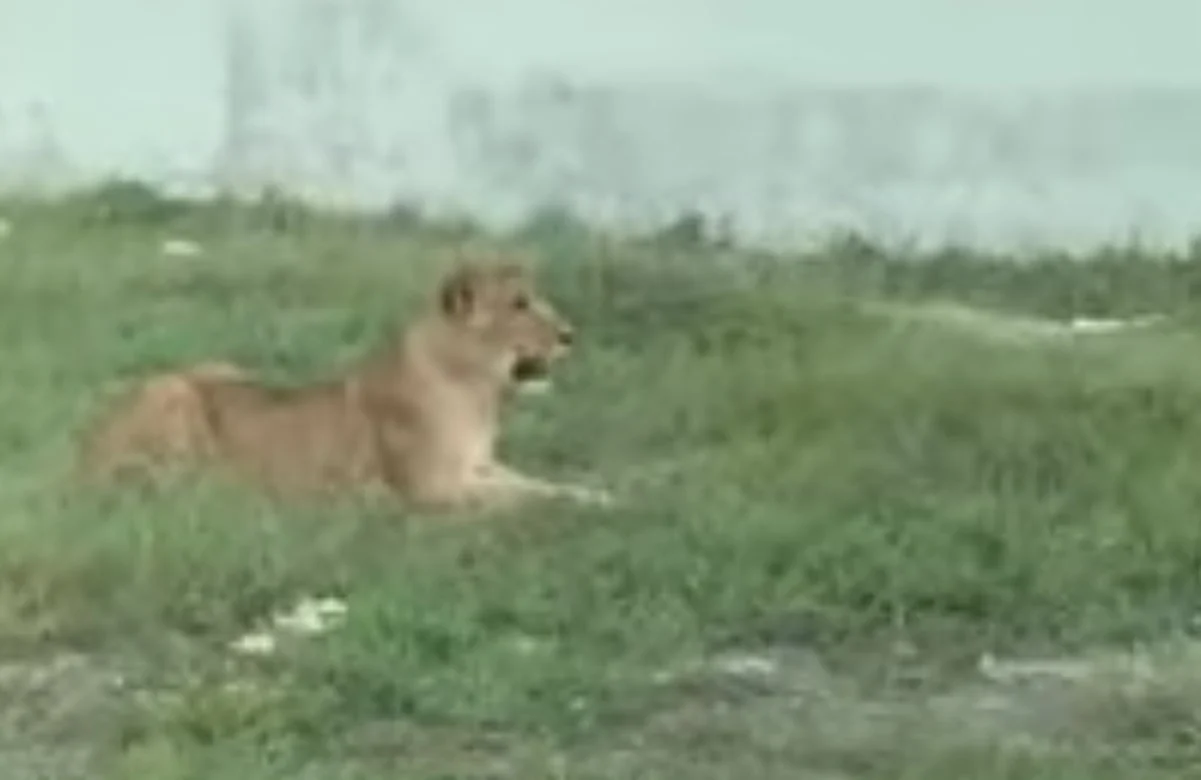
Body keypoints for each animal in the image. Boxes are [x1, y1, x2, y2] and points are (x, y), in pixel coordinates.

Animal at [76, 257, 612, 512]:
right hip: (173, 395)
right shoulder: (432, 488)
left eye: (533, 297)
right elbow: (522, 501)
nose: (570, 334)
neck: (480, 394)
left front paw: (596, 496)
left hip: (217, 365)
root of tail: (82, 455)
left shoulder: (480, 466)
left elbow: (542, 485)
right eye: (520, 304)